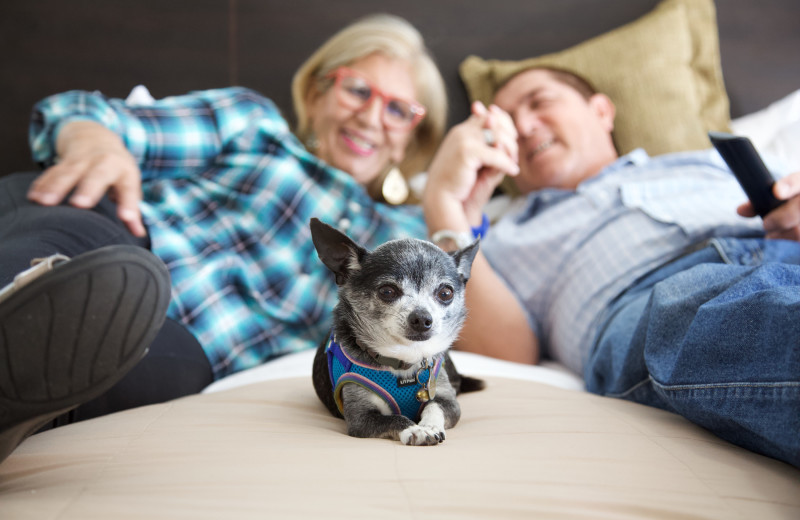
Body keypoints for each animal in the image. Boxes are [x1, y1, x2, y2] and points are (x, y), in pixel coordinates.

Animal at [308, 217, 482, 444]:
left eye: (445, 293)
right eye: (387, 291)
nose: (422, 318)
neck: (404, 361)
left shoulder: (448, 402)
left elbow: (434, 407)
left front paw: (428, 426)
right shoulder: (360, 419)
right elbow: (395, 418)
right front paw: (415, 430)